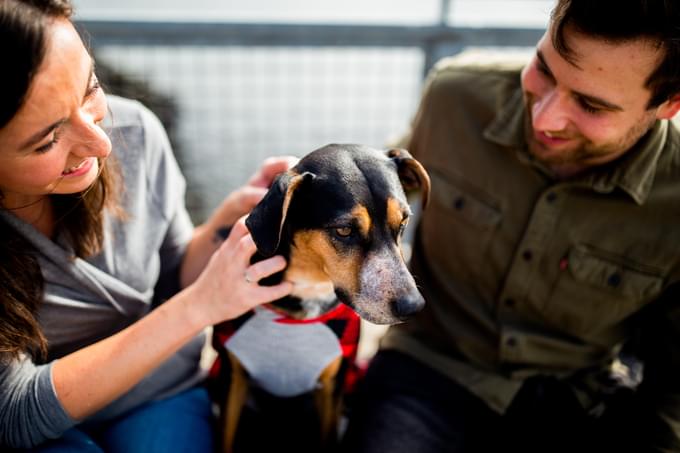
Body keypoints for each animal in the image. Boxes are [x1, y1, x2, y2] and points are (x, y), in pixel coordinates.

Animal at [211, 143, 430, 450]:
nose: (413, 306)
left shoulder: (333, 387)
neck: (310, 290)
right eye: (344, 230)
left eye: (403, 222)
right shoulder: (232, 379)